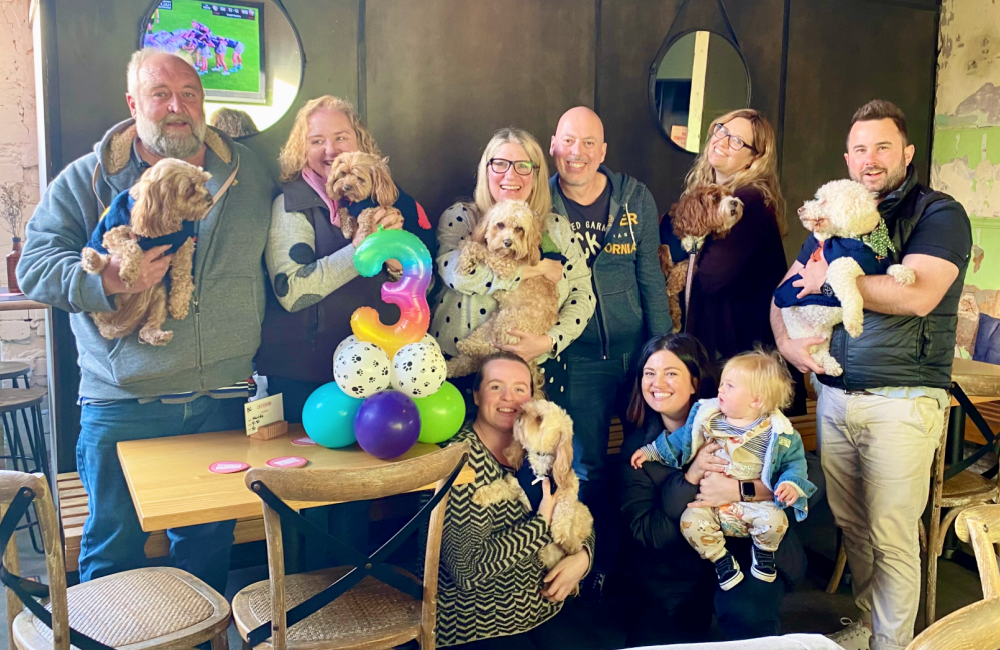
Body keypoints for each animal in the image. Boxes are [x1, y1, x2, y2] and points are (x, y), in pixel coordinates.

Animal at [82, 158, 213, 344]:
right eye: (188, 188)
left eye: (203, 182)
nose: (209, 198)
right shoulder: (112, 235)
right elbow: (133, 246)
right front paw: (130, 271)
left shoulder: (183, 245)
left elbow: (182, 276)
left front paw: (179, 304)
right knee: (101, 264)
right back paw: (92, 259)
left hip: (159, 296)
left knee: (146, 329)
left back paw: (159, 336)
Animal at [772, 180, 916, 378]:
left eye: (824, 201)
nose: (800, 209)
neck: (862, 240)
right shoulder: (838, 268)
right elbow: (854, 297)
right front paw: (854, 323)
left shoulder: (878, 266)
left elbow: (892, 267)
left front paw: (905, 273)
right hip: (802, 335)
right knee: (814, 356)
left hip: (823, 335)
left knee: (822, 353)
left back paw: (831, 366)